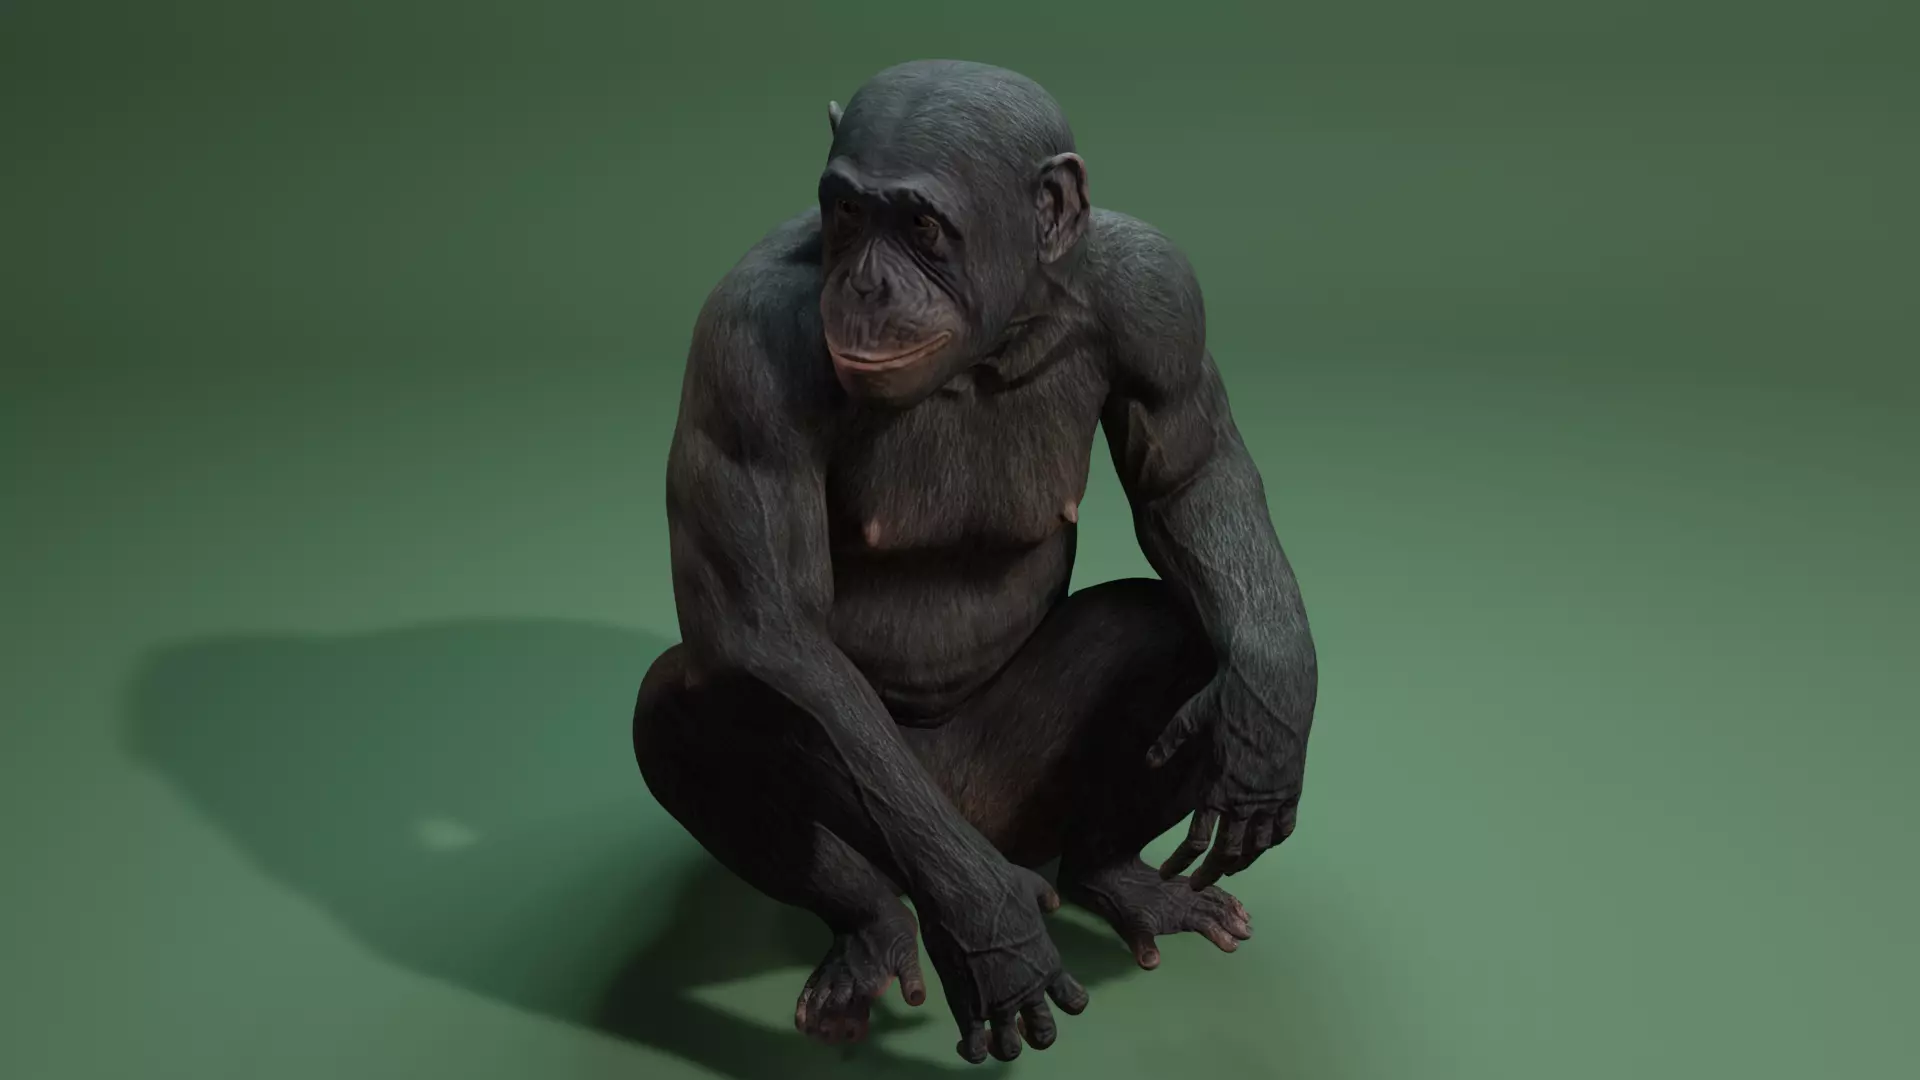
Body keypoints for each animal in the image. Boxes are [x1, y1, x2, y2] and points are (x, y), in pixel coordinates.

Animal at [633, 60, 1317, 1065]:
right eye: (847, 213)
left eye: (920, 226)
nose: (867, 285)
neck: (997, 329)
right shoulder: (741, 351)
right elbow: (770, 631)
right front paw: (992, 937)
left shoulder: (1161, 295)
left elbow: (1192, 479)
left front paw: (1271, 708)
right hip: (917, 825)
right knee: (699, 704)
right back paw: (877, 929)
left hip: (1022, 799)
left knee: (1180, 632)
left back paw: (1115, 873)